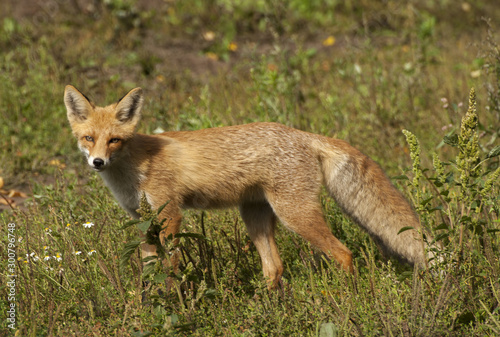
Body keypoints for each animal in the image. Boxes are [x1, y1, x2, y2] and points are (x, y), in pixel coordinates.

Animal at [62, 85, 430, 288]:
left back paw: (346, 299)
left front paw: (174, 301)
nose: (98, 162)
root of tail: (302, 133)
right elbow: (151, 271)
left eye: (114, 140)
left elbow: (171, 268)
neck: (134, 167)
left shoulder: (170, 216)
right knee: (274, 268)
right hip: (255, 217)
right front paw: (152, 303)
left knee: (343, 253)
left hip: (295, 215)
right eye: (89, 138)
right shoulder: (143, 221)